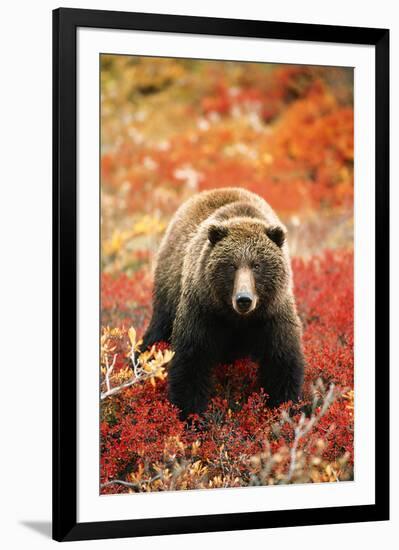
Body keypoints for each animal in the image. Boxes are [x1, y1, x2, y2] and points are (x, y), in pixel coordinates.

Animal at [144, 188, 306, 420]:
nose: (244, 299)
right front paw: (191, 415)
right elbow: (190, 362)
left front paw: (285, 410)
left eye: (257, 265)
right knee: (157, 331)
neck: (237, 319)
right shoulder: (203, 310)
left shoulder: (272, 315)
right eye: (231, 265)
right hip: (168, 288)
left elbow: (282, 363)